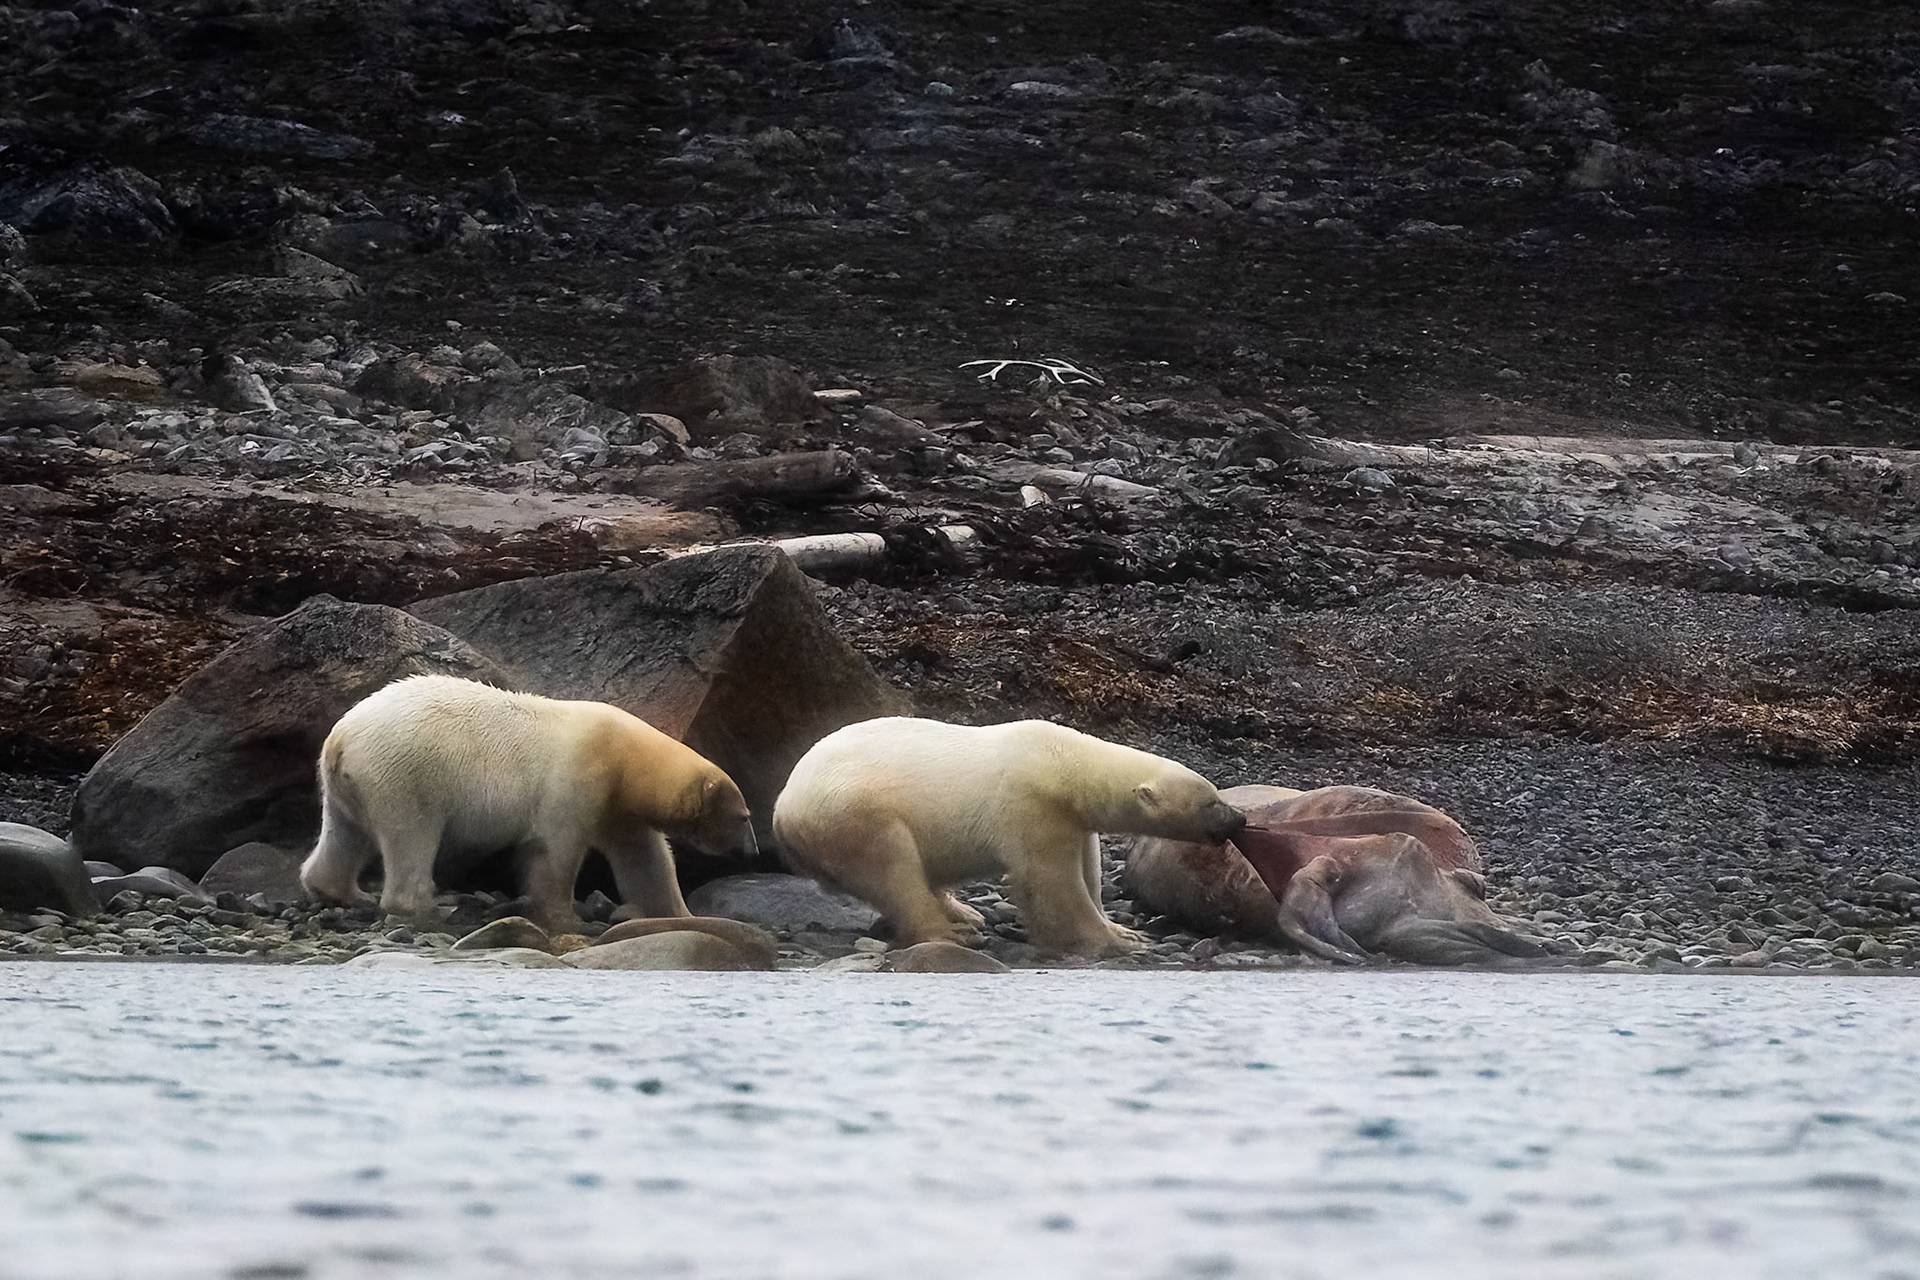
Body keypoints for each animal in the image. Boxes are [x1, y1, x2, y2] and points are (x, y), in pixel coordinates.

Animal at [299, 675, 757, 933]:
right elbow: (555, 848)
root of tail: (340, 739)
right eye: (744, 817)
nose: (753, 851)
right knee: (411, 835)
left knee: (344, 833)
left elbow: (644, 858)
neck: (625, 755)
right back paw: (434, 905)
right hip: (406, 772)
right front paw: (566, 917)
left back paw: (342, 891)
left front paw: (680, 913)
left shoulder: (617, 805)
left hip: (344, 784)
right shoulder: (578, 775)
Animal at [771, 716, 1244, 958]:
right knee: (893, 866)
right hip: (852, 811)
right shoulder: (1031, 804)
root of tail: (781, 808)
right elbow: (1050, 879)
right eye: (1210, 802)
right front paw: (1117, 941)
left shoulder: (1073, 817)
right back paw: (952, 932)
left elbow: (1089, 869)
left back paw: (964, 912)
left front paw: (1122, 928)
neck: (1066, 764)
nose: (1238, 820)